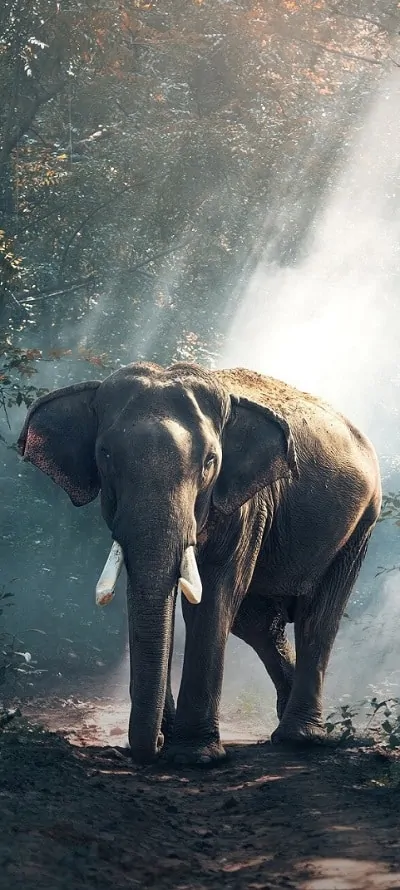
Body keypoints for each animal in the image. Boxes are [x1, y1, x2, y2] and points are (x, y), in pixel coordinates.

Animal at [18, 361, 382, 766]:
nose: (151, 747)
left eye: (210, 462)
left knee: (317, 617)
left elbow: (214, 597)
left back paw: (299, 738)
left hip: (362, 522)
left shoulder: (247, 504)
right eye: (105, 456)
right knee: (257, 623)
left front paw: (194, 756)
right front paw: (170, 740)